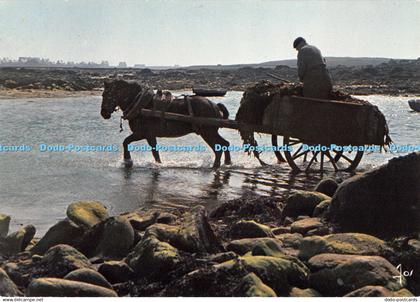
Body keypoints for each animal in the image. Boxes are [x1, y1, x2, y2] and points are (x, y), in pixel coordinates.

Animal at [101, 79, 233, 169]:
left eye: (107, 95)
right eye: (103, 95)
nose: (103, 113)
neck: (140, 105)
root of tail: (214, 105)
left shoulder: (145, 134)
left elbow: (149, 150)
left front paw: (128, 160)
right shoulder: (145, 135)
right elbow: (130, 143)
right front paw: (128, 160)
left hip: (207, 132)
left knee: (218, 148)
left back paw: (216, 166)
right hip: (210, 132)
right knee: (225, 144)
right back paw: (227, 163)